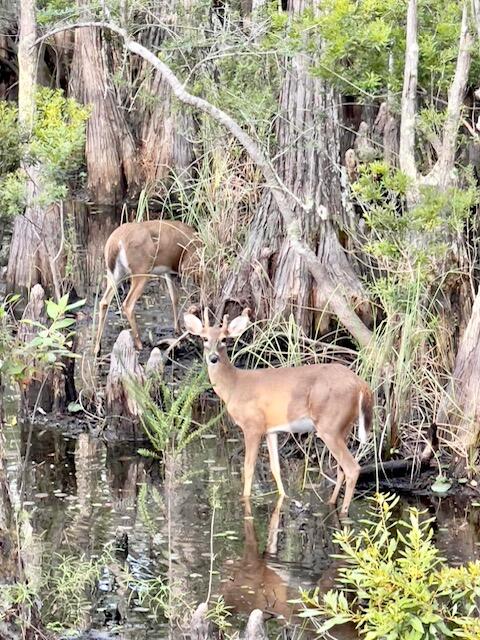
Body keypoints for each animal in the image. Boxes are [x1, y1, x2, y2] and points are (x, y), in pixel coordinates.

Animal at [94, 220, 199, 355]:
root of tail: (115, 242)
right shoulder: (186, 265)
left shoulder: (168, 272)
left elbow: (174, 297)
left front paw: (178, 330)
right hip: (141, 270)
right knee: (128, 303)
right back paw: (139, 344)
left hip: (114, 273)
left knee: (104, 301)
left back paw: (97, 348)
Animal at [183, 307, 373, 516]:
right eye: (204, 338)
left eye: (224, 339)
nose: (213, 358)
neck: (234, 386)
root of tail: (361, 385)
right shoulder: (271, 430)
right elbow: (275, 468)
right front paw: (283, 498)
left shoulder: (252, 425)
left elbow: (248, 467)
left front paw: (245, 499)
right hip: (343, 426)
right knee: (341, 469)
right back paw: (330, 503)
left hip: (329, 425)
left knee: (352, 468)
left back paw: (344, 512)